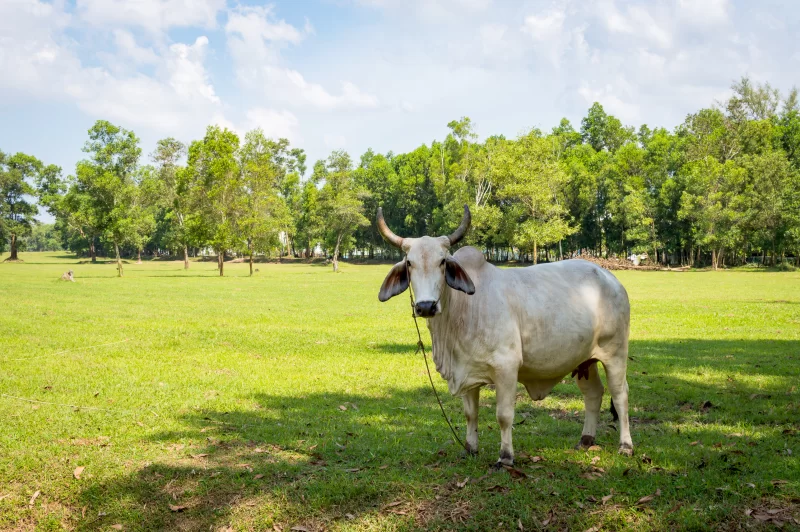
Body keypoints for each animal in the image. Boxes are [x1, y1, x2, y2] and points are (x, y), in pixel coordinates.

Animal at [376, 205, 633, 467]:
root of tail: (609, 277)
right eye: (409, 263)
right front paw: (470, 448)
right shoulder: (466, 370)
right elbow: (471, 414)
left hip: (615, 353)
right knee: (593, 394)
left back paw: (625, 446)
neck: (462, 310)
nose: (426, 306)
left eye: (442, 262)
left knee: (620, 395)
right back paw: (585, 440)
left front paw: (506, 456)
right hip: (584, 361)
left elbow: (504, 415)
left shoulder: (506, 367)